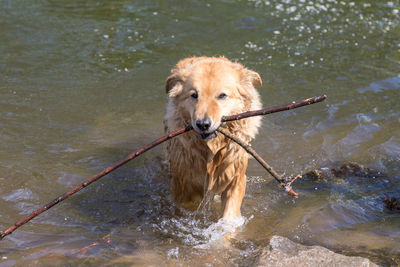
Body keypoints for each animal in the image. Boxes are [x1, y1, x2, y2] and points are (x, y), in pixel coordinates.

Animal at [163, 56, 262, 220]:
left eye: (222, 95)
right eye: (194, 95)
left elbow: (229, 216)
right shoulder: (182, 186)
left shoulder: (235, 178)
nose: (203, 124)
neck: (212, 149)